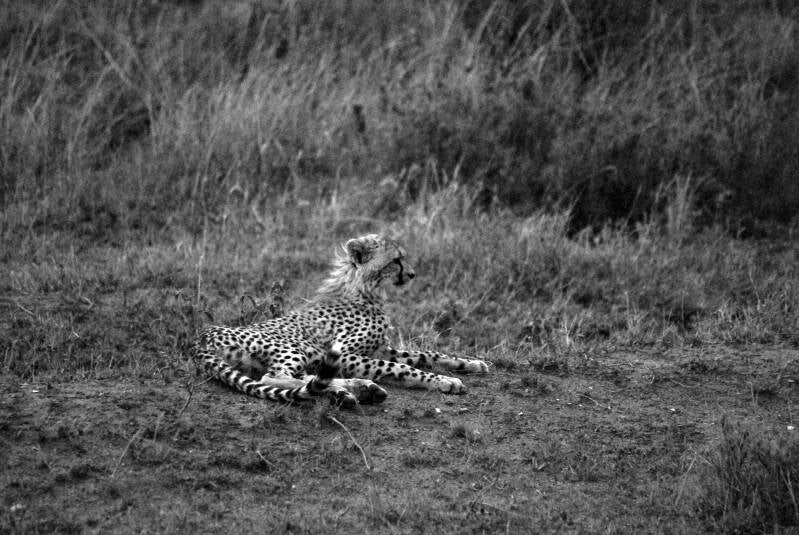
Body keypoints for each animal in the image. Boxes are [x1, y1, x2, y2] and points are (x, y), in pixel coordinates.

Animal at [193, 233, 489, 408]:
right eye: (396, 260)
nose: (413, 274)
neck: (364, 290)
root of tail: (201, 337)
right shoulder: (345, 353)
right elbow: (401, 367)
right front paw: (443, 381)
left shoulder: (381, 349)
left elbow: (428, 354)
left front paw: (471, 363)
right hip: (296, 348)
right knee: (277, 377)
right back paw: (349, 391)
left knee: (302, 377)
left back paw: (357, 389)